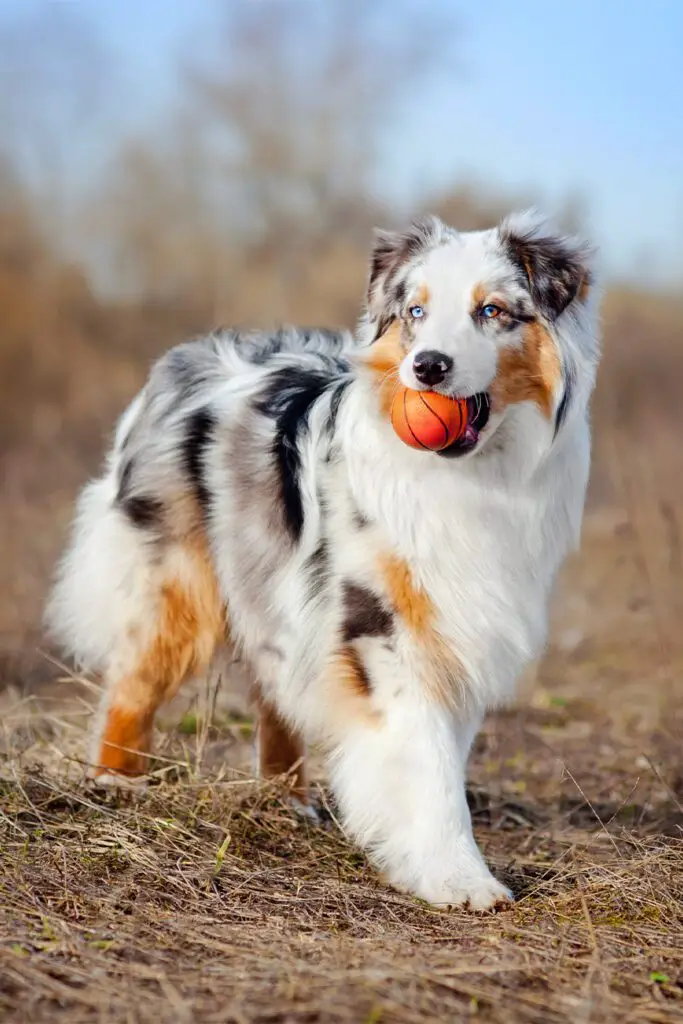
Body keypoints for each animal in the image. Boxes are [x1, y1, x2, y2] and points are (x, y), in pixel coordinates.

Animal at [48, 211, 602, 909]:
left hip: (273, 589)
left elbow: (441, 754)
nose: (428, 367)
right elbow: (427, 763)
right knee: (133, 683)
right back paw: (114, 784)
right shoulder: (381, 627)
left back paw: (286, 802)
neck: (470, 477)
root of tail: (184, 358)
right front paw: (459, 878)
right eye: (416, 311)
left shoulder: (459, 625)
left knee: (273, 690)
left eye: (492, 311)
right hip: (178, 585)